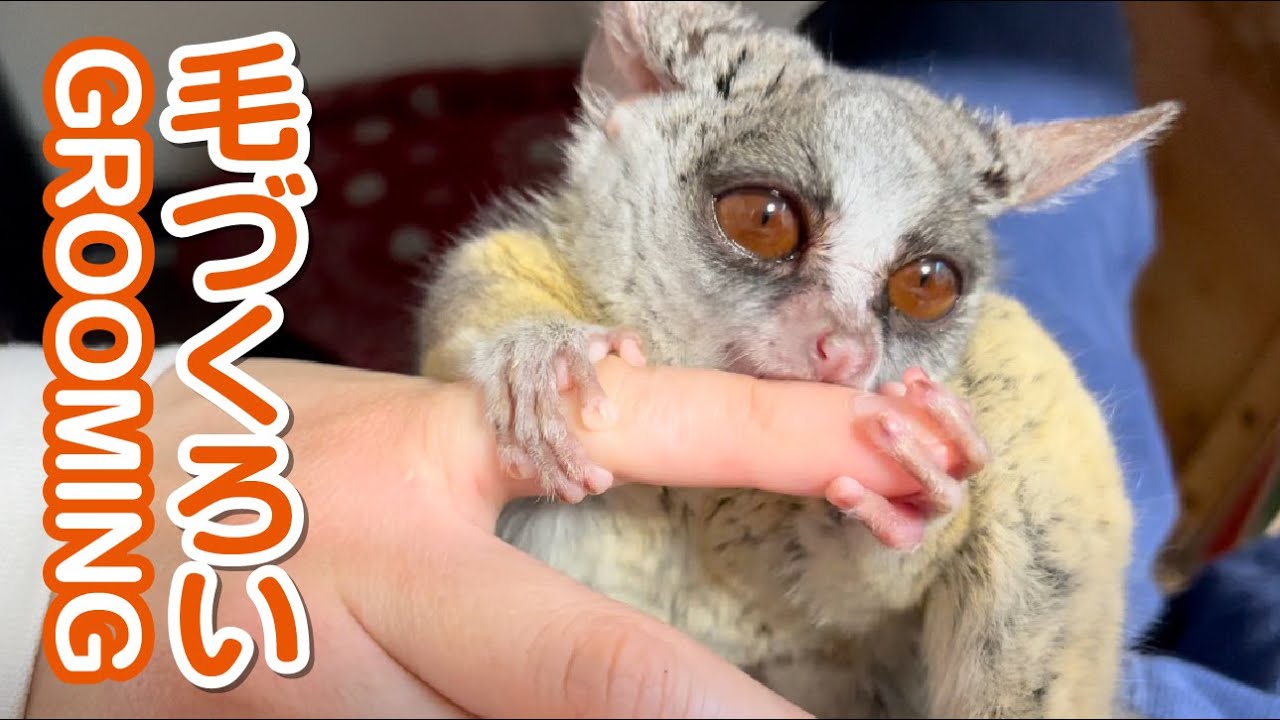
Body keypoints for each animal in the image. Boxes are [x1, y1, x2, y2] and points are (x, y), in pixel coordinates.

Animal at [413, 2, 1180, 716]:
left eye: (927, 283)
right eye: (763, 220)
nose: (848, 351)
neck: (706, 496)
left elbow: (848, 598)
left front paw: (913, 494)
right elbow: (480, 280)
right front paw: (539, 358)